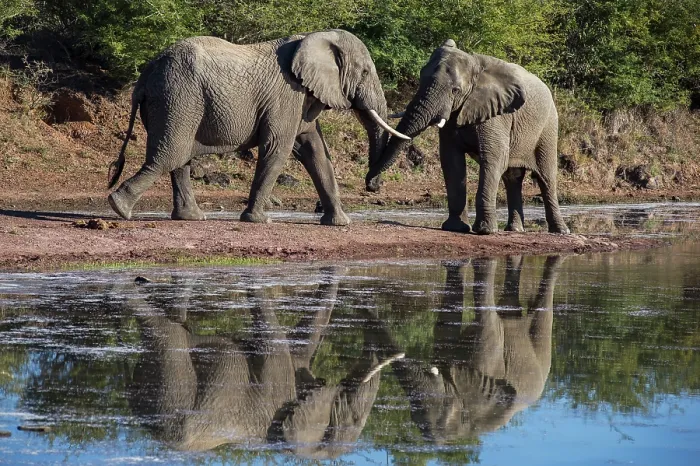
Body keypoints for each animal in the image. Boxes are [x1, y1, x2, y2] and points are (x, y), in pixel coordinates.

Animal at [107, 30, 409, 225]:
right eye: (366, 72)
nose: (373, 187)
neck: (313, 38)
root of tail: (144, 77)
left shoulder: (301, 100)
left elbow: (315, 151)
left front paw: (340, 223)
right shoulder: (286, 95)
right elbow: (278, 148)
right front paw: (259, 220)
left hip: (175, 102)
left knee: (179, 159)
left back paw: (190, 217)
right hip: (177, 97)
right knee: (171, 155)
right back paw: (119, 208)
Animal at [366, 39, 569, 235]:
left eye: (455, 90)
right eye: (421, 79)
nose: (373, 185)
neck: (476, 69)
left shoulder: (498, 115)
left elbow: (493, 159)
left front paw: (484, 231)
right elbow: (451, 160)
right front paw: (455, 228)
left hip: (548, 127)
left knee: (546, 177)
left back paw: (560, 231)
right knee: (512, 178)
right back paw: (515, 230)